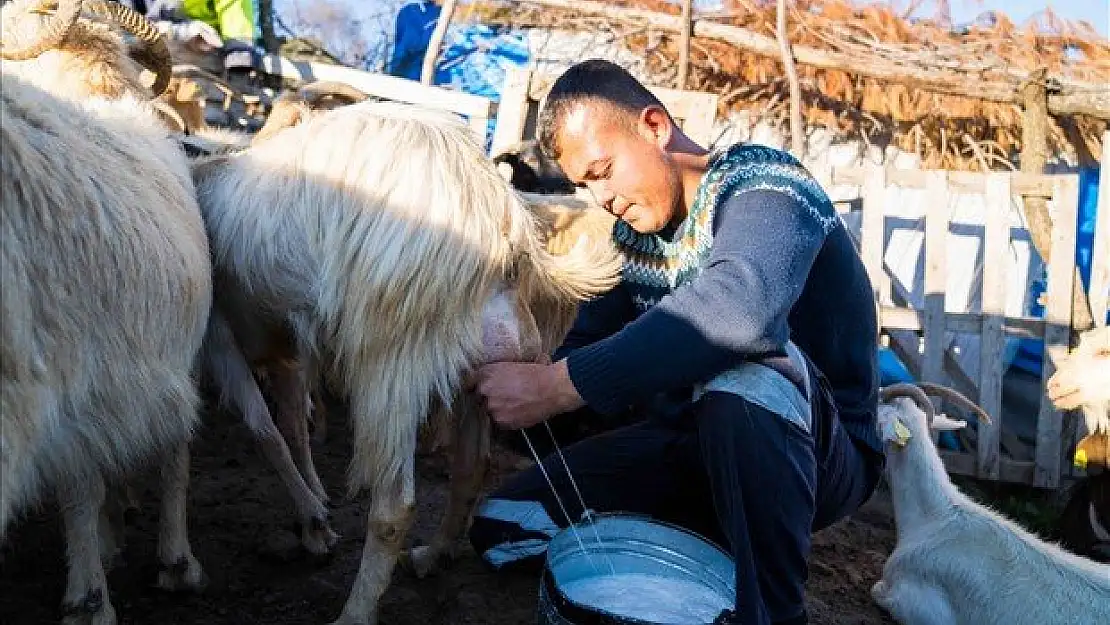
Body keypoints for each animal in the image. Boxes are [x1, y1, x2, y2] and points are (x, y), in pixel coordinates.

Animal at [190, 100, 626, 621]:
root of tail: (501, 223)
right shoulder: (287, 348)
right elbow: (291, 425)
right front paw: (315, 510)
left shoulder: (220, 336)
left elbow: (265, 431)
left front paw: (313, 520)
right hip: (487, 369)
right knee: (471, 468)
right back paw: (433, 555)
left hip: (394, 365)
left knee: (395, 508)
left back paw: (356, 612)